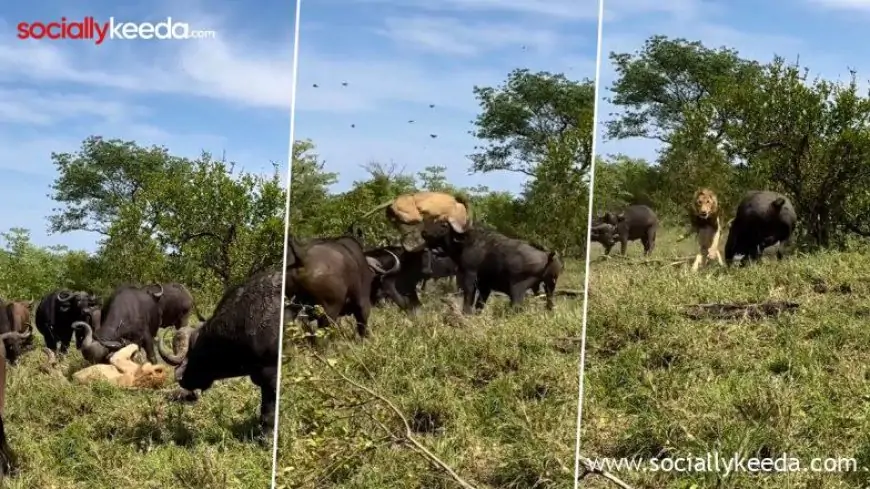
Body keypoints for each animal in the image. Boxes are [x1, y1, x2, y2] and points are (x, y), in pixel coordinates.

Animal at [424, 217, 564, 312]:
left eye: (443, 225)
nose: (424, 232)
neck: (467, 241)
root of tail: (548, 255)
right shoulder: (485, 286)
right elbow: (480, 304)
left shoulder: (470, 277)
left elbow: (468, 299)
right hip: (550, 287)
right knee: (549, 302)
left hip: (517, 289)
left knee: (516, 306)